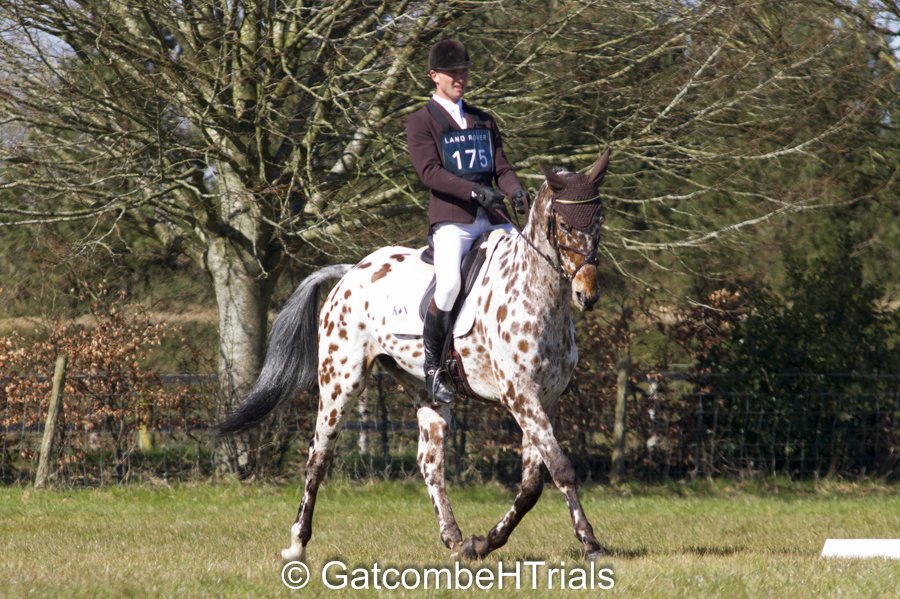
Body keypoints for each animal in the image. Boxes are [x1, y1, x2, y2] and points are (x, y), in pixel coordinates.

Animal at [219, 150, 610, 563]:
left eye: (599, 220)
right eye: (564, 224)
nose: (587, 295)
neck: (536, 292)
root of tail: (351, 272)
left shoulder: (543, 400)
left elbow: (532, 483)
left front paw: (483, 542)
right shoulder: (520, 396)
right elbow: (561, 469)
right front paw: (590, 543)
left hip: (426, 391)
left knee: (429, 462)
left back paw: (454, 539)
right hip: (340, 383)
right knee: (318, 455)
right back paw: (297, 543)